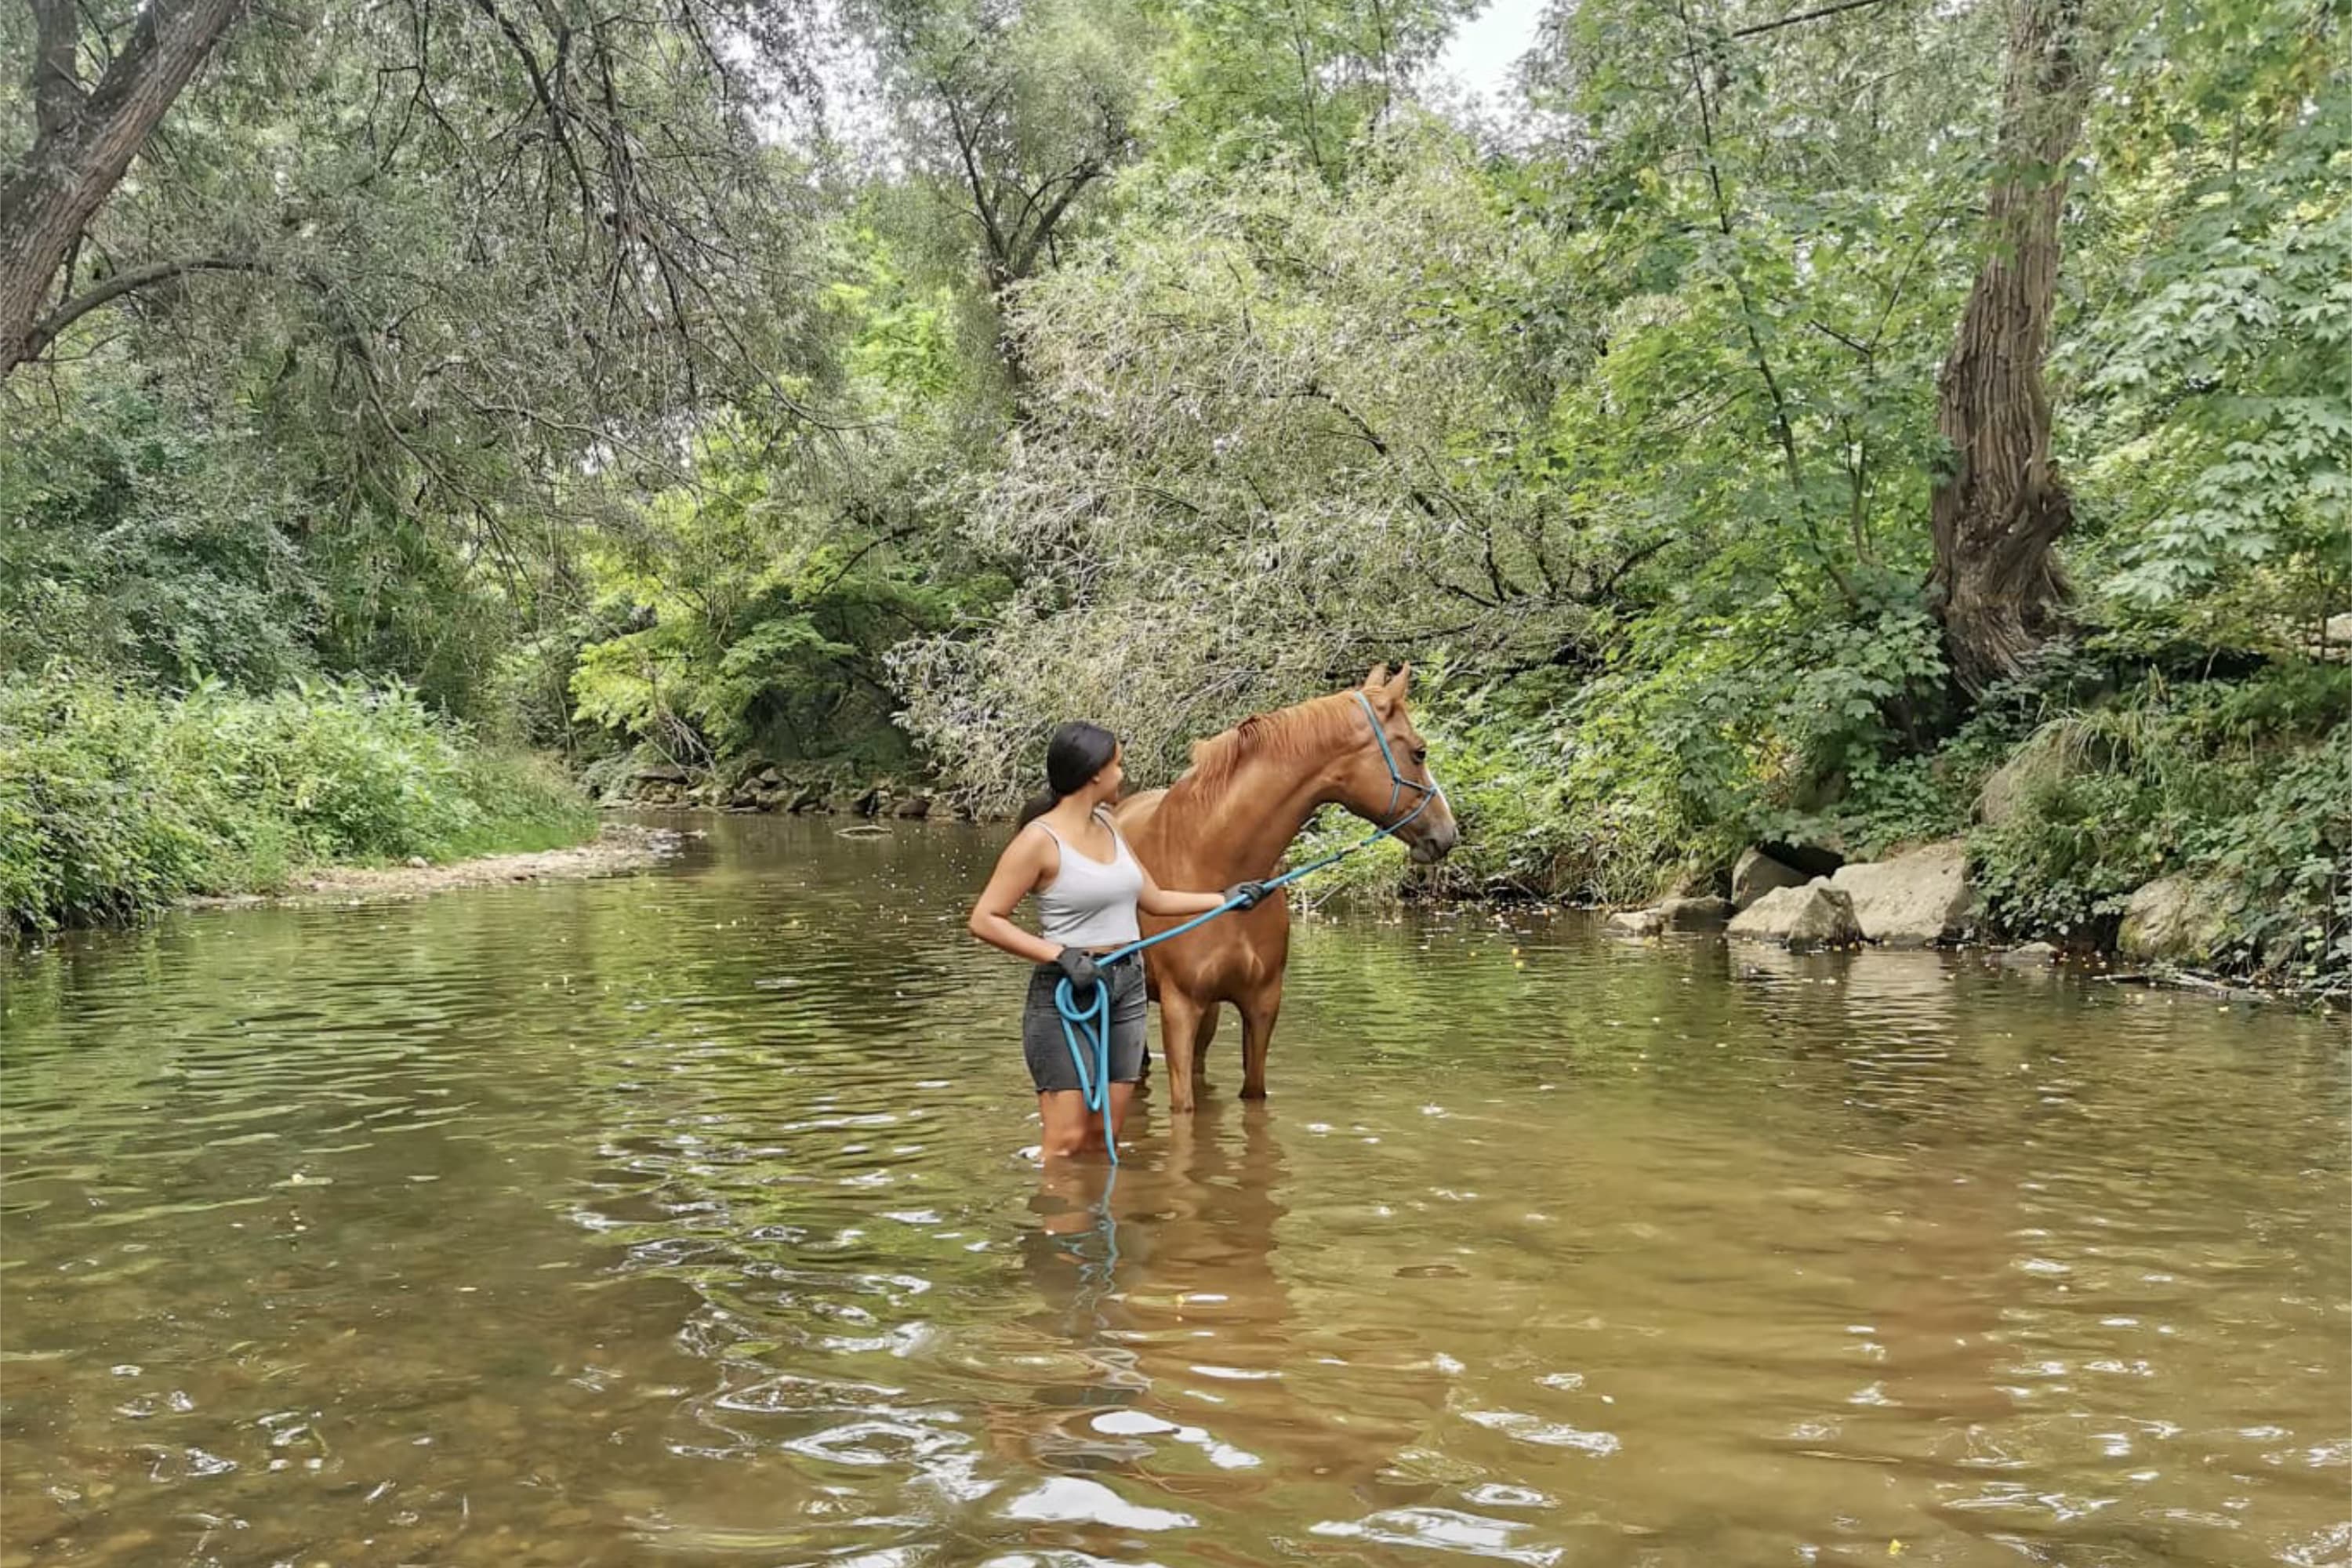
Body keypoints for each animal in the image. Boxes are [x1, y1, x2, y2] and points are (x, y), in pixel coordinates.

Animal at [1110, 662, 1458, 1114]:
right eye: (1420, 752)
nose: (1448, 833)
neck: (1214, 863)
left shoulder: (1261, 1006)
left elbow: (1254, 1095)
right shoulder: (1180, 1008)